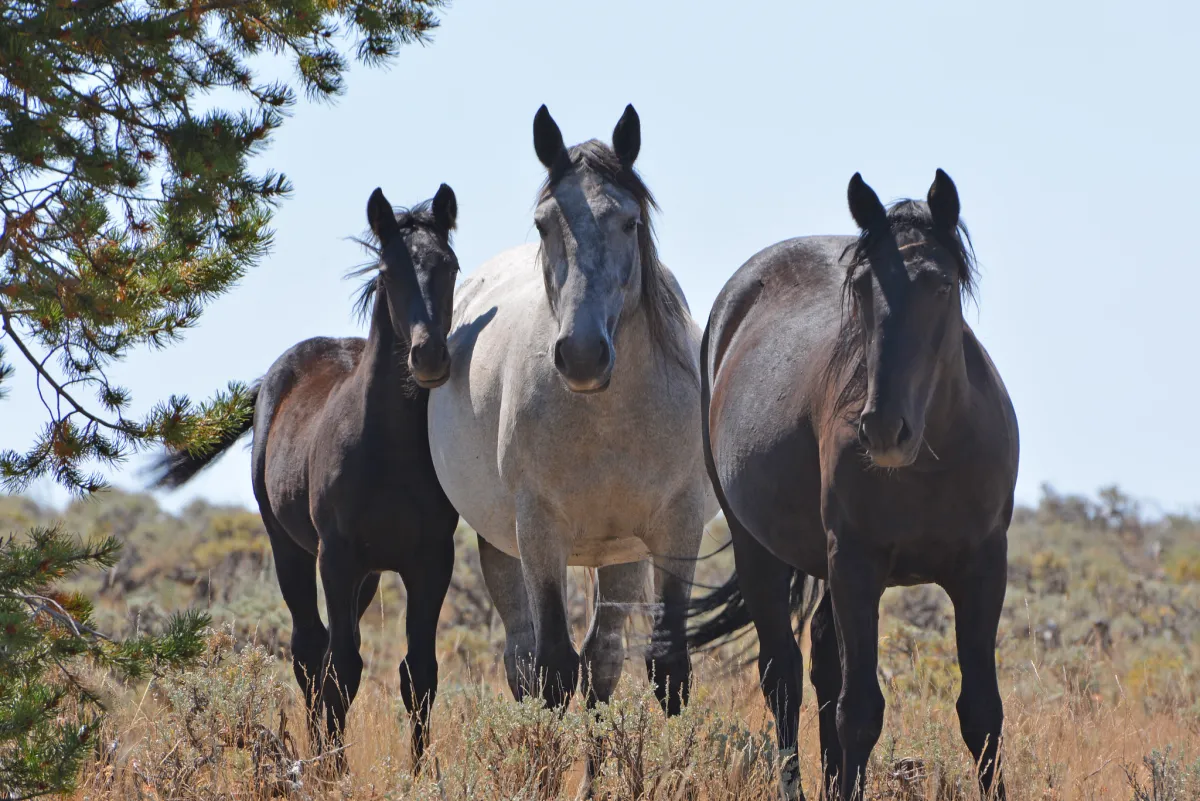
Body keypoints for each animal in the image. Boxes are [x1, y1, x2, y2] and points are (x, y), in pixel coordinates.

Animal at [151, 184, 461, 771]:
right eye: (387, 271)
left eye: (450, 266)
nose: (429, 355)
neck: (388, 450)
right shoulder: (336, 557)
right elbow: (343, 669)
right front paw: (333, 770)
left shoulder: (431, 560)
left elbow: (419, 674)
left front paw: (418, 775)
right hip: (293, 550)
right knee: (310, 651)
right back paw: (316, 755)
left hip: (366, 574)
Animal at [426, 104, 715, 791]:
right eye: (545, 222)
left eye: (629, 221)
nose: (581, 355)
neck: (608, 415)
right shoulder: (539, 530)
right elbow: (553, 670)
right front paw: (541, 774)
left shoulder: (678, 527)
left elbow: (666, 672)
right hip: (501, 544)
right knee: (524, 660)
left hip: (621, 555)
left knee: (602, 659)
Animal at [688, 171, 1017, 800]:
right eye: (862, 287)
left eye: (941, 284)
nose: (885, 428)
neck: (933, 460)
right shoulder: (857, 564)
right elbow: (860, 710)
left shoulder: (984, 566)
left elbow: (983, 714)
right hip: (760, 549)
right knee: (784, 676)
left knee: (820, 661)